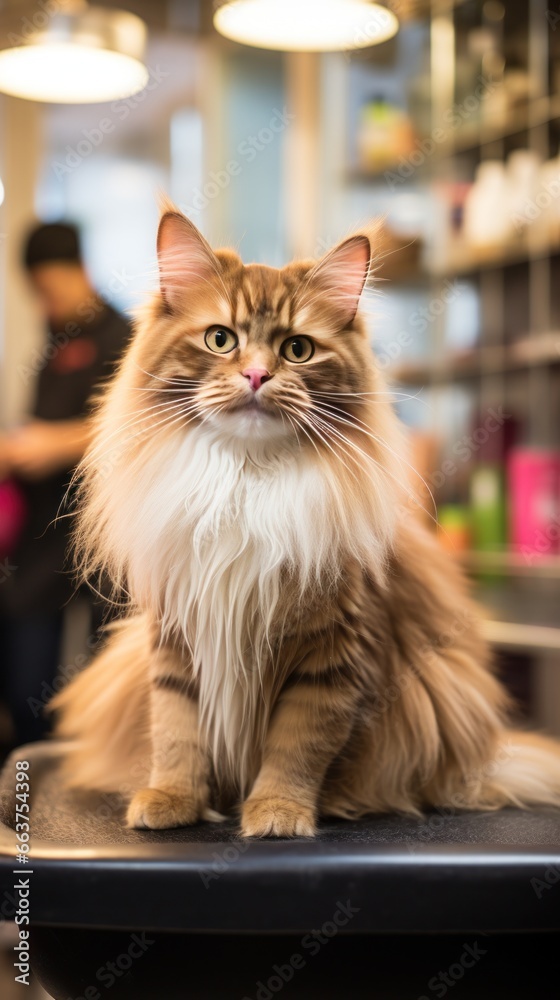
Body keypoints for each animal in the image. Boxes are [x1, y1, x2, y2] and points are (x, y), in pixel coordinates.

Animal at [52, 203, 560, 836]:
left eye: (297, 350)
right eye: (220, 340)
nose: (256, 376)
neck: (245, 482)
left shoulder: (333, 652)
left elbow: (297, 746)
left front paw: (277, 812)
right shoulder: (176, 633)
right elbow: (176, 729)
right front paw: (171, 799)